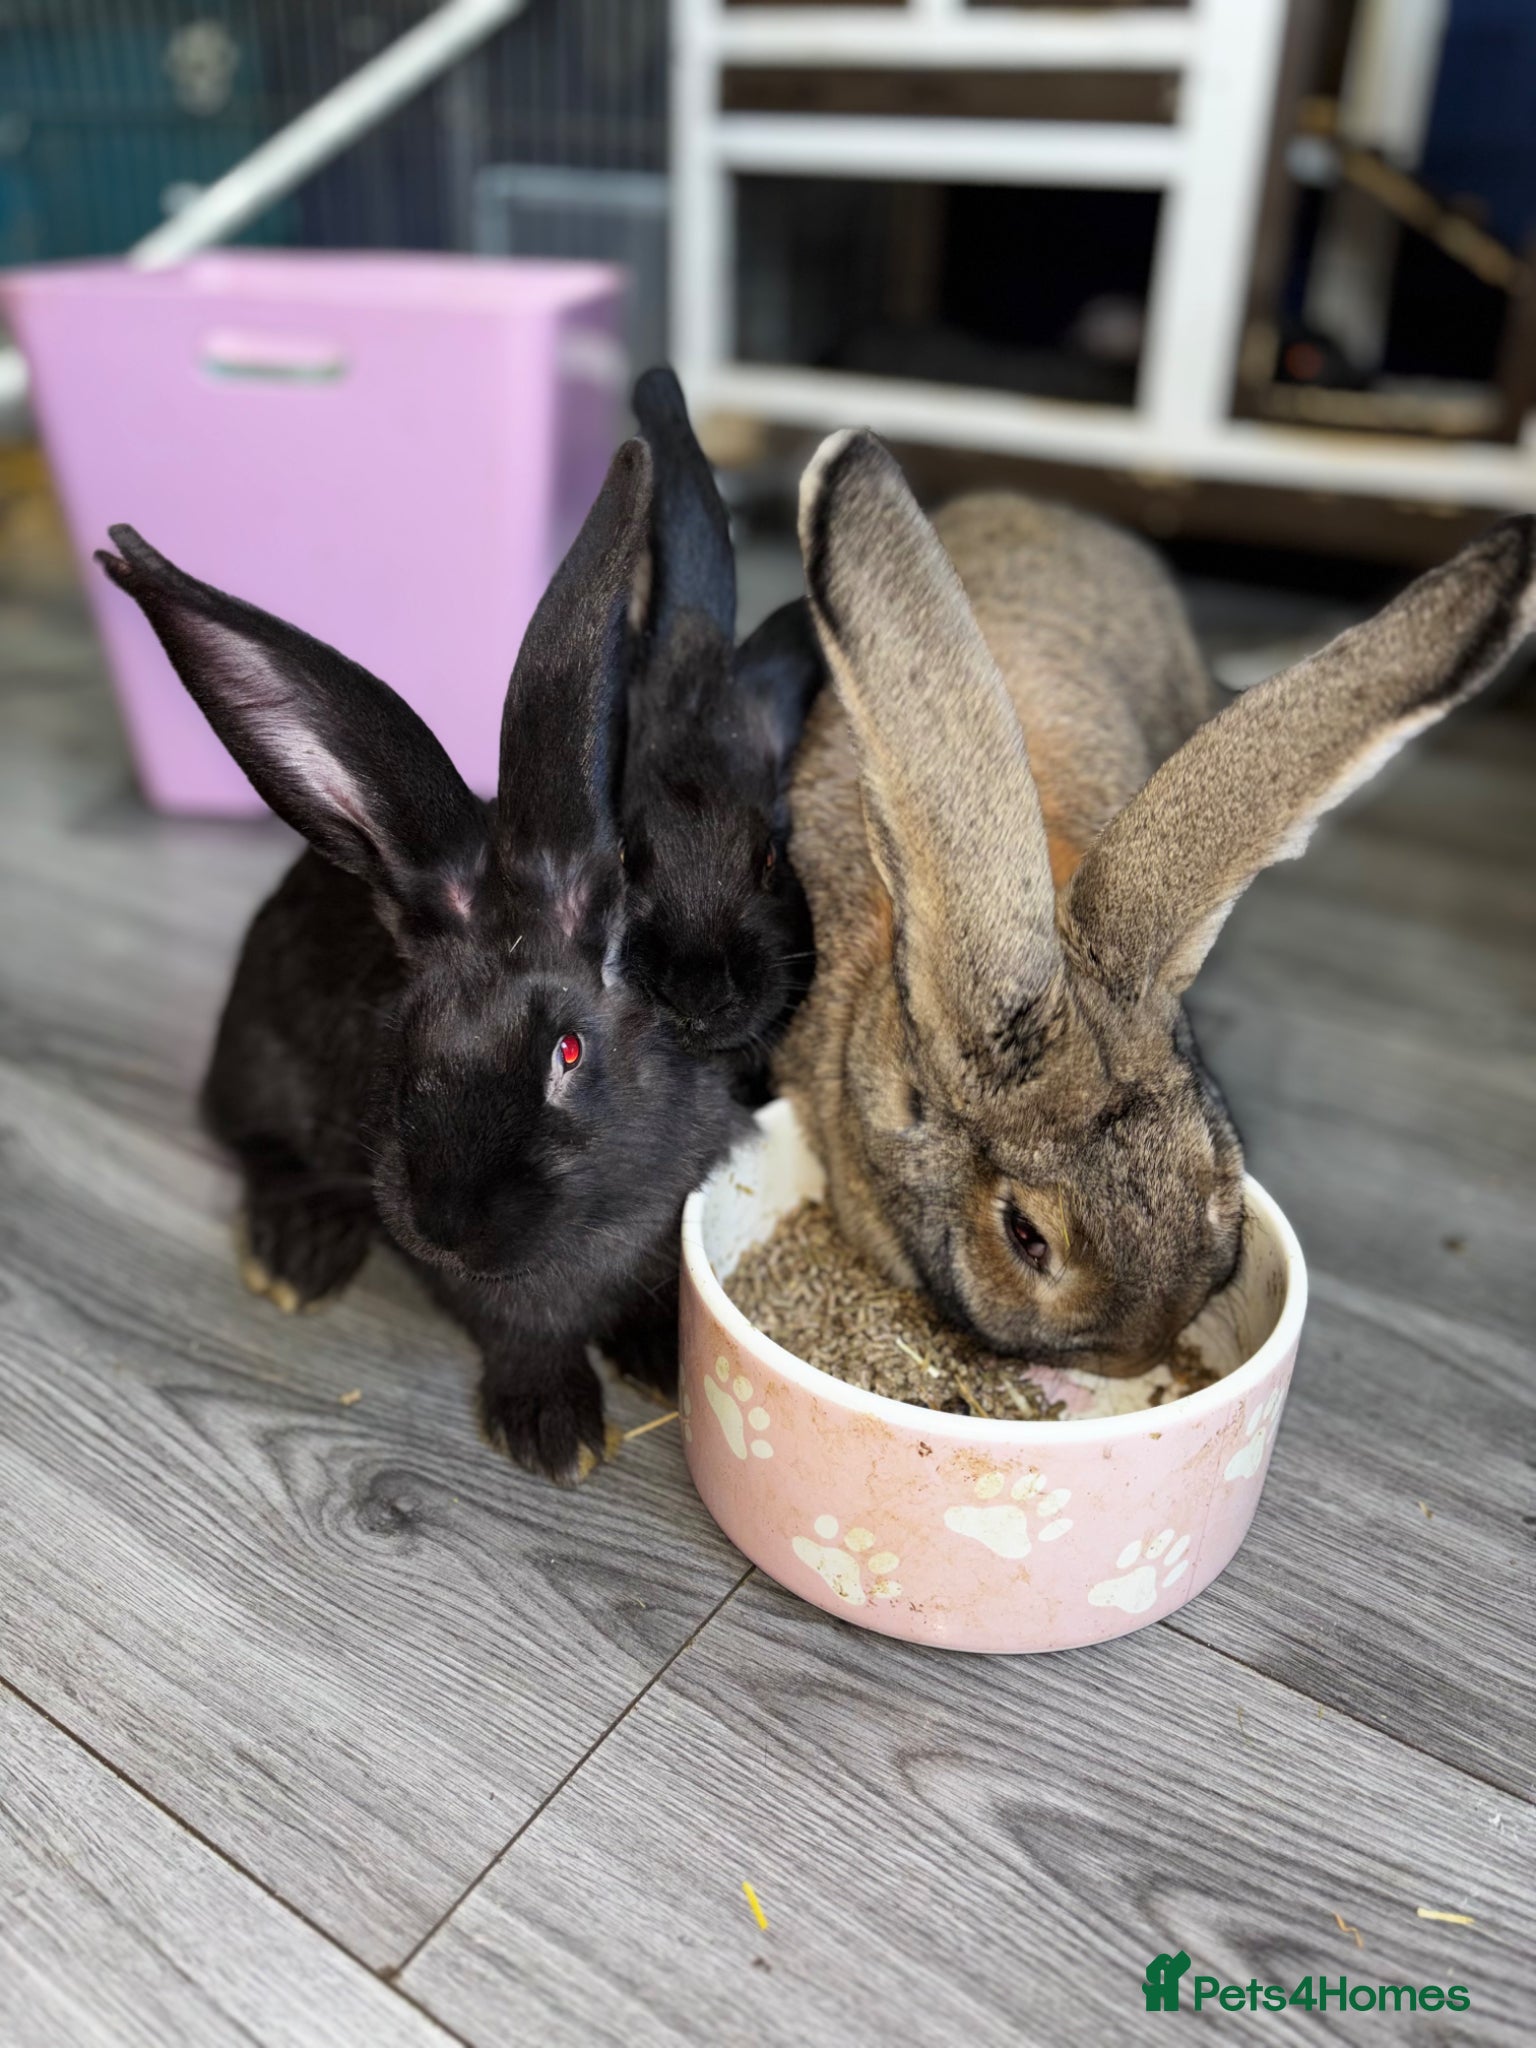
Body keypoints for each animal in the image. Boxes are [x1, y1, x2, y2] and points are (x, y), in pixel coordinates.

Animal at [96, 440, 745, 1484]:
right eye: (404, 1045)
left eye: (567, 1054)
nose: (447, 1223)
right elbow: (521, 1335)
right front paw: (552, 1430)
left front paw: (657, 1360)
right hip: (257, 1063)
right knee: (256, 1146)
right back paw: (299, 1251)